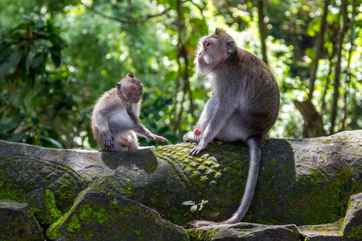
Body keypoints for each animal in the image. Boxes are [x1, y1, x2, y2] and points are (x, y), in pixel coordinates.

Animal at [184, 28, 280, 228]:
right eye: (202, 43)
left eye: (208, 45)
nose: (199, 53)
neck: (226, 61)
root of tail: (258, 134)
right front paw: (198, 135)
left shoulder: (228, 78)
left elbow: (224, 107)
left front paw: (203, 142)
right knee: (214, 100)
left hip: (235, 127)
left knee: (218, 105)